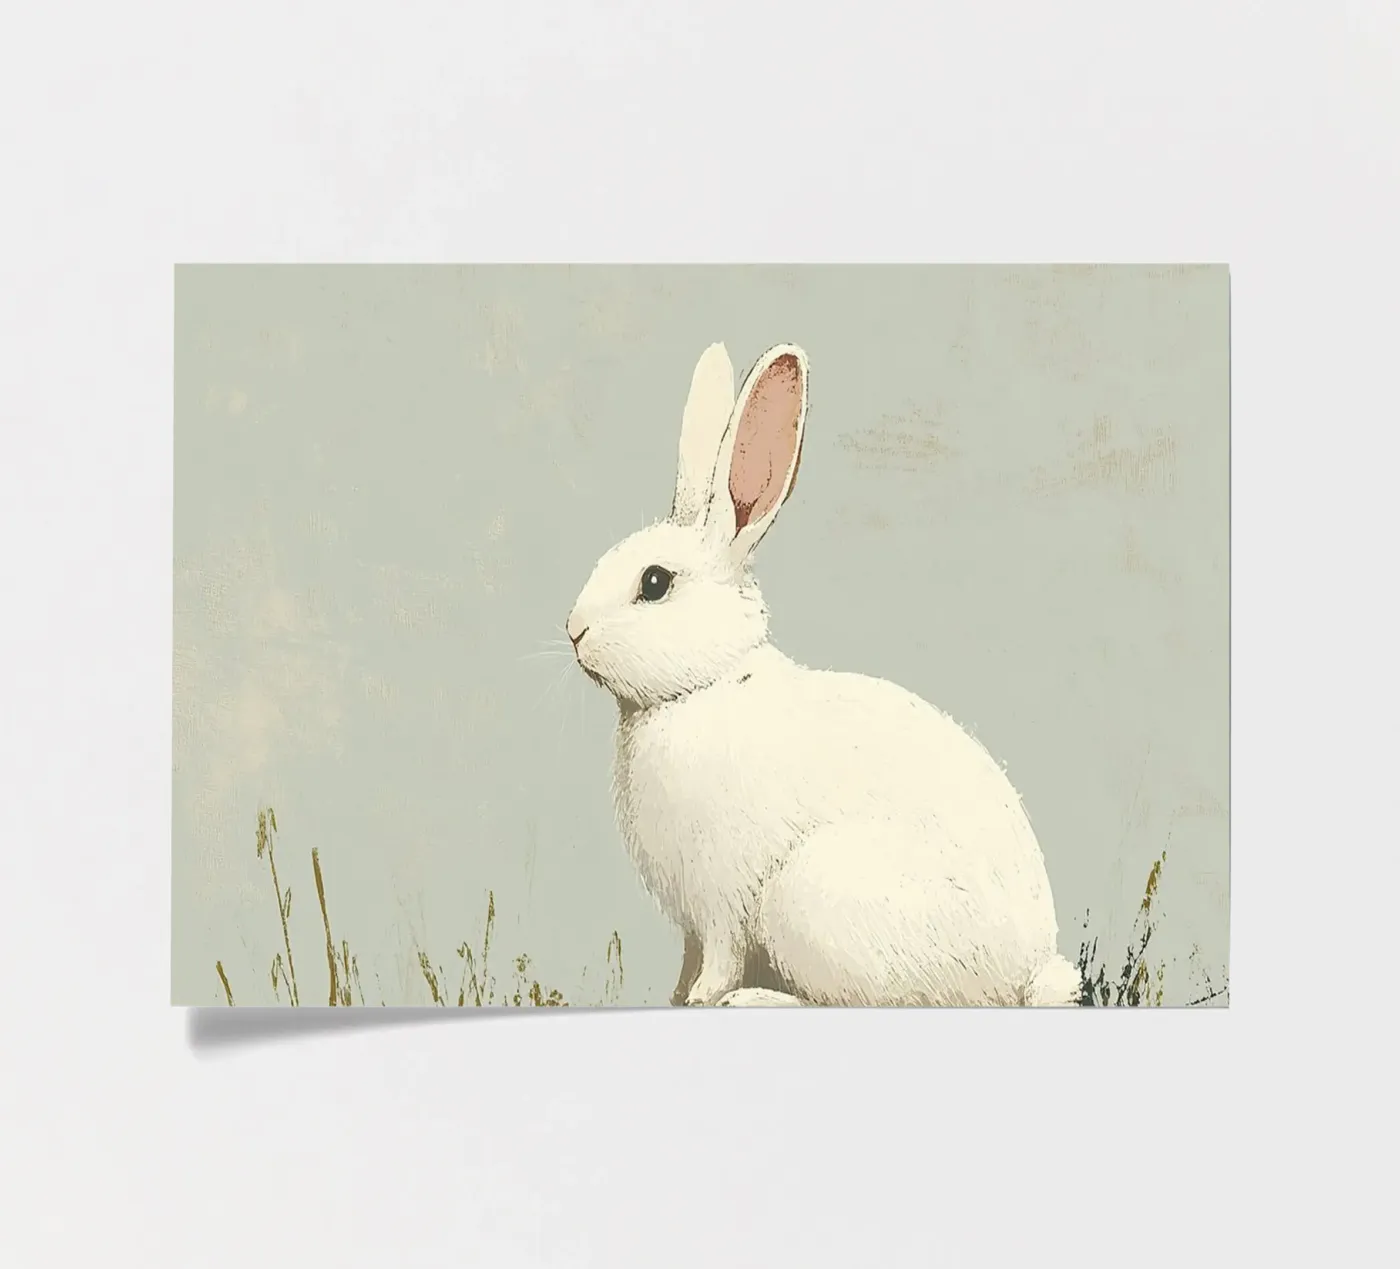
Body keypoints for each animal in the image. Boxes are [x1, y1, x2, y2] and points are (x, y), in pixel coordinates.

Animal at [566, 342, 1081, 1008]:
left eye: (654, 583)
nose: (573, 630)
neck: (703, 687)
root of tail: (1028, 975)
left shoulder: (723, 902)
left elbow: (720, 960)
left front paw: (704, 998)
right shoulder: (693, 923)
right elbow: (690, 959)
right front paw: (676, 996)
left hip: (811, 898)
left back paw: (758, 1000)